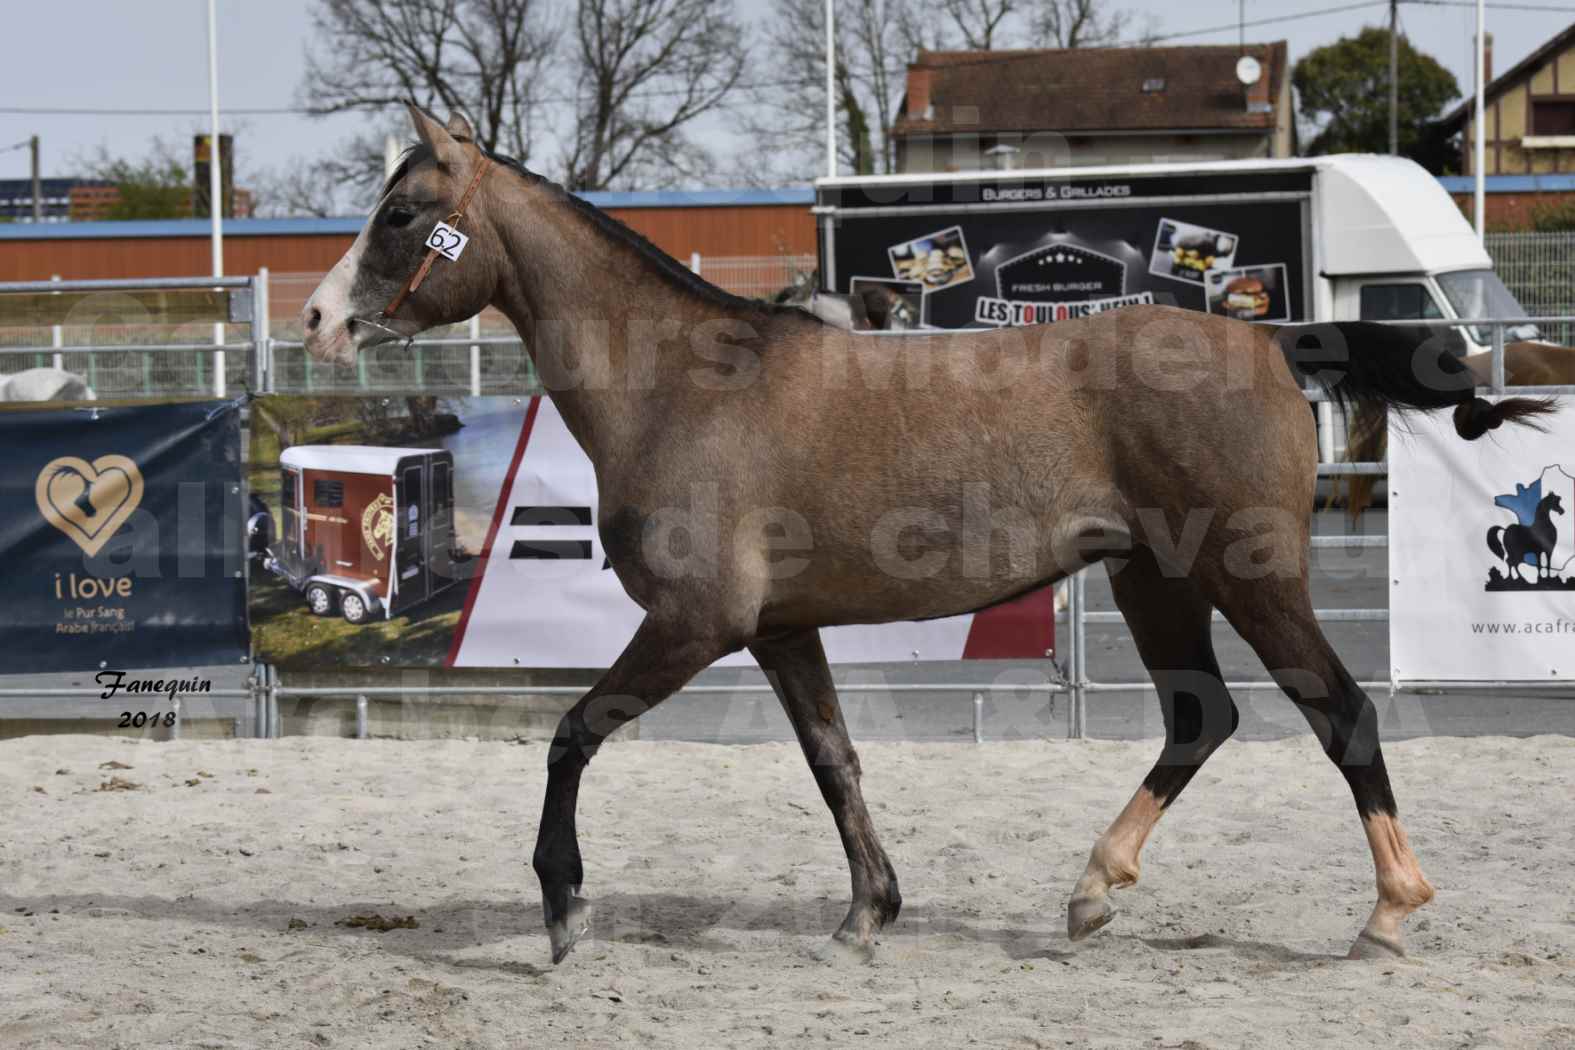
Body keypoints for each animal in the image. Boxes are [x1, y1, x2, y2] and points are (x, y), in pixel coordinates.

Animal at [303, 102, 1549, 963]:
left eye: (402, 214)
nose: (317, 319)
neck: (683, 386)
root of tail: (1275, 342)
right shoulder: (778, 630)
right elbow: (834, 762)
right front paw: (867, 914)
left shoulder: (693, 624)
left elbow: (572, 734)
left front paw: (563, 908)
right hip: (1154, 582)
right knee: (1204, 717)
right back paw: (1091, 891)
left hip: (1252, 579)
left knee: (1339, 712)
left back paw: (1388, 915)